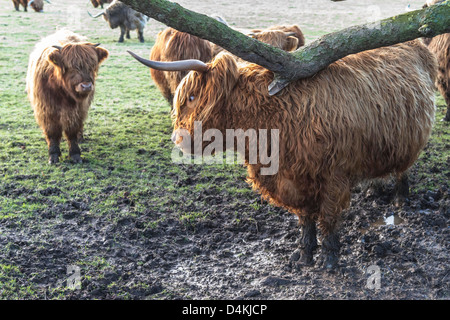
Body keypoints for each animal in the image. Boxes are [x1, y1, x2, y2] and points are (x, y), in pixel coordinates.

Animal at [26, 29, 109, 164]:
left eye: (92, 65)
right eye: (71, 67)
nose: (86, 86)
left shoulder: (77, 110)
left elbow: (72, 131)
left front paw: (75, 154)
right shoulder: (46, 109)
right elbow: (52, 132)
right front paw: (53, 155)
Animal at [128, 40, 438, 270]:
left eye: (192, 98)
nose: (177, 140)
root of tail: (416, 45)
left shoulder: (334, 176)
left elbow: (328, 219)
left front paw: (329, 259)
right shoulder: (295, 178)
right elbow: (306, 219)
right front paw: (304, 255)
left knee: (404, 169)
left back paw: (400, 198)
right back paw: (373, 189)